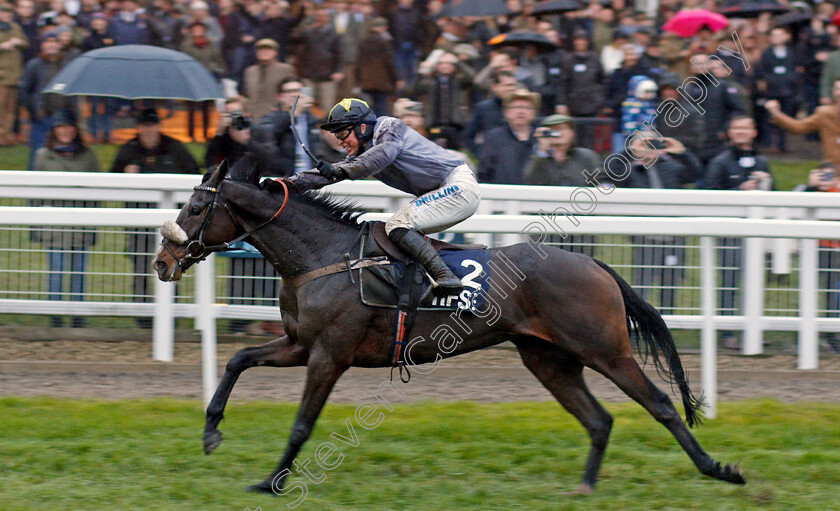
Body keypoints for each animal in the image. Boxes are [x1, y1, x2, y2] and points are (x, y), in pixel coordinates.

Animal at [154, 159, 744, 496]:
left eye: (196, 206)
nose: (162, 262)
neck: (325, 256)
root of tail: (594, 264)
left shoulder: (329, 355)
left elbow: (302, 423)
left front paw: (273, 482)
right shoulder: (301, 344)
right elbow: (236, 360)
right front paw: (211, 432)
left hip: (605, 350)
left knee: (660, 405)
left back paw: (719, 469)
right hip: (548, 359)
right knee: (599, 420)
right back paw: (584, 488)